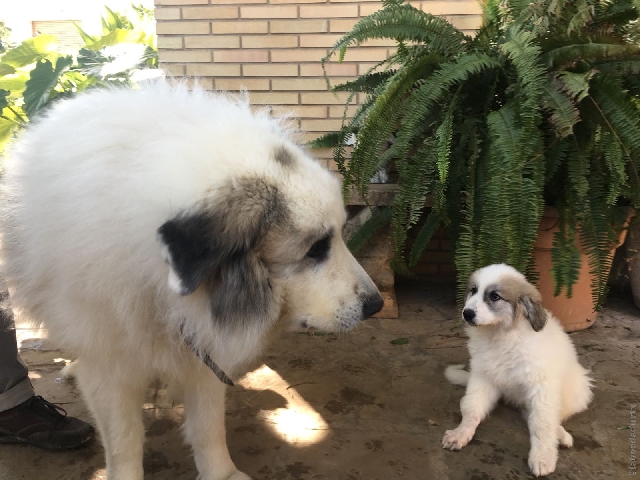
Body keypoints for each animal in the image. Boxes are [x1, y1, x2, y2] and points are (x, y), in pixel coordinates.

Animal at [442, 264, 592, 478]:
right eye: (473, 290)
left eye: (494, 296)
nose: (467, 313)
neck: (500, 335)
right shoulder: (483, 377)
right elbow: (472, 408)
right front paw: (461, 433)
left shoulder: (541, 386)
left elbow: (542, 424)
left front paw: (543, 457)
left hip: (579, 390)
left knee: (549, 416)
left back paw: (560, 434)